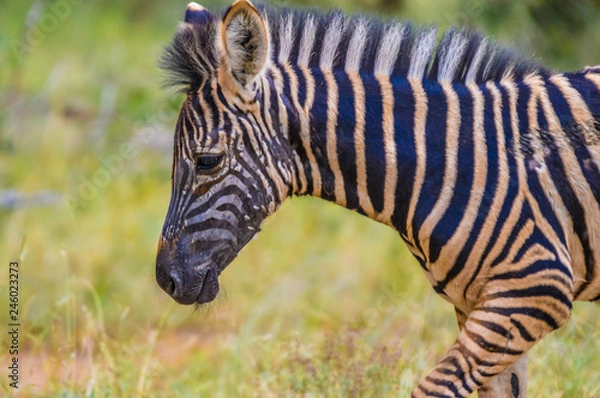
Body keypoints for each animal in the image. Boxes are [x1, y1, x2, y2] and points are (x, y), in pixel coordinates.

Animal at [155, 1, 600, 396]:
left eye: (207, 161)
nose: (166, 281)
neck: (453, 160)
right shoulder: (479, 304)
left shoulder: (535, 289)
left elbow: (432, 390)